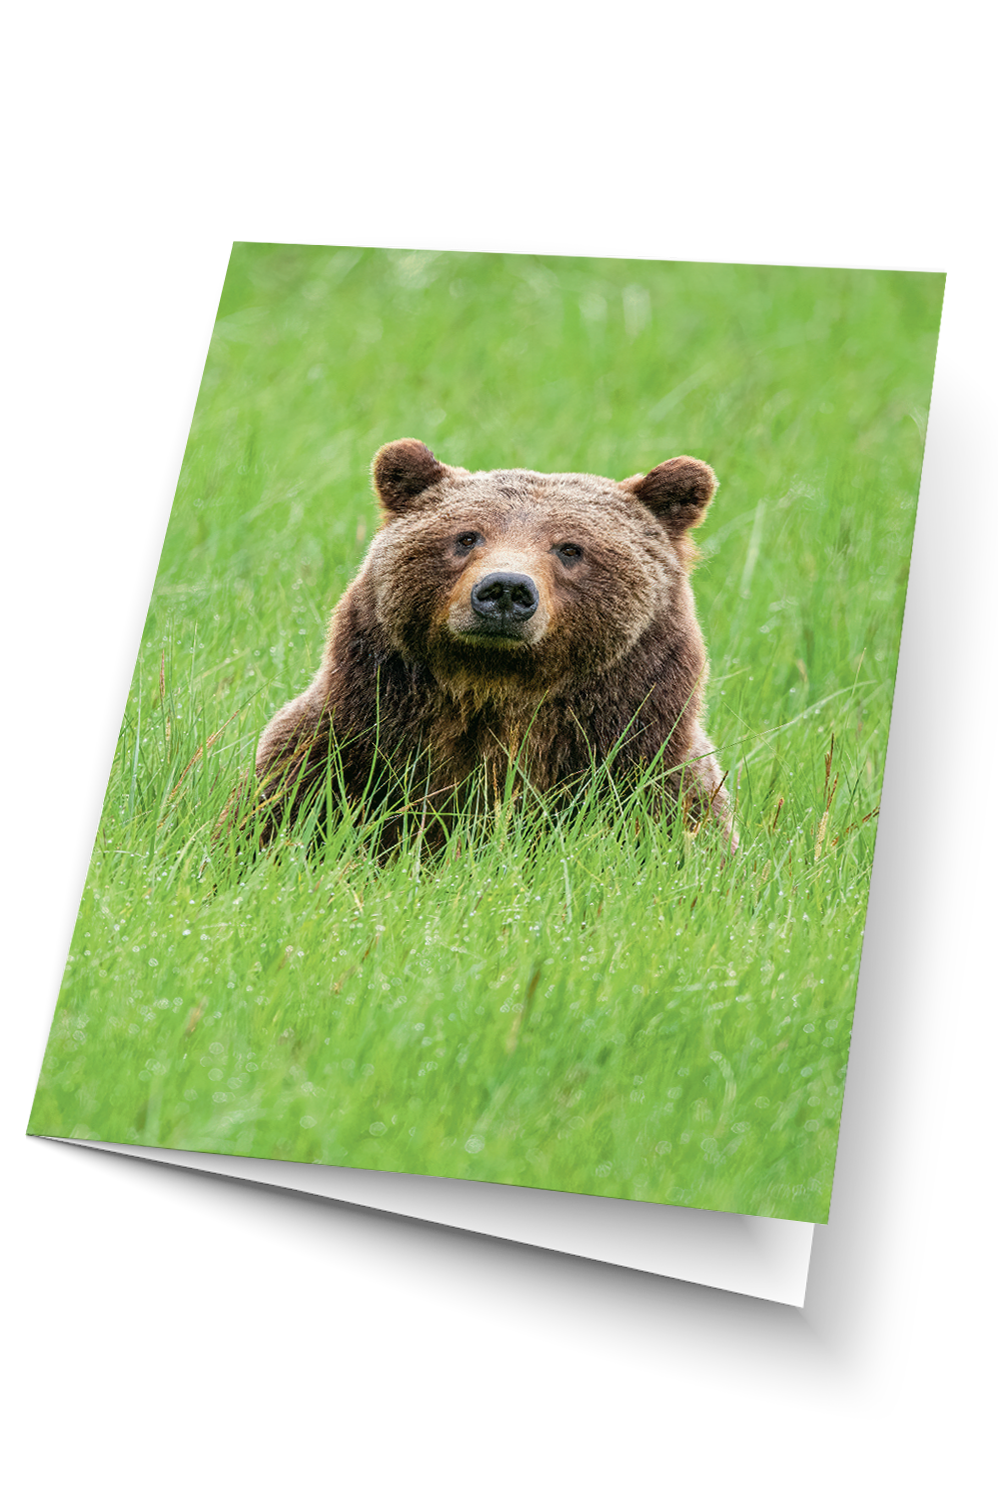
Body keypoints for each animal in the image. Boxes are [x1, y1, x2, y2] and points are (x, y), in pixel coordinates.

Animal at [253, 439, 735, 850]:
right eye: (467, 536)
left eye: (570, 548)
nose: (505, 589)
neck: (497, 691)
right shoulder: (342, 757)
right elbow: (279, 817)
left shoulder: (652, 781)